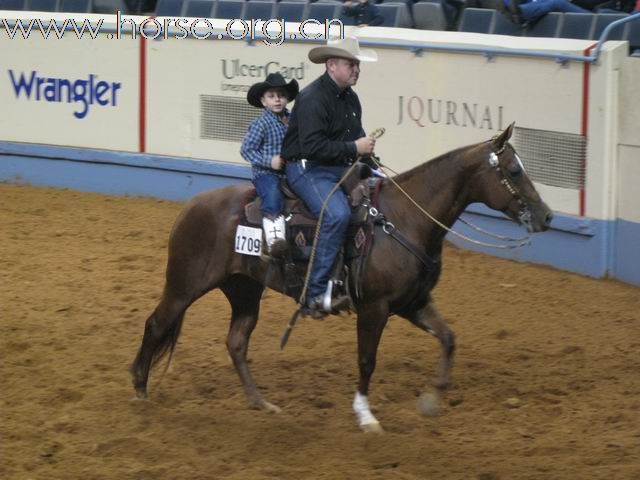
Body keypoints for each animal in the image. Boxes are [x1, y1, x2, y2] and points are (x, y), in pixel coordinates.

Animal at [129, 124, 552, 432]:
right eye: (514, 170)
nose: (546, 216)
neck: (403, 221)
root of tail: (192, 206)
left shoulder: (413, 302)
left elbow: (448, 338)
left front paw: (432, 400)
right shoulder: (375, 307)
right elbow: (367, 360)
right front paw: (366, 416)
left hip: (244, 289)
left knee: (236, 342)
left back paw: (260, 402)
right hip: (186, 283)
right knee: (156, 324)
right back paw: (140, 389)